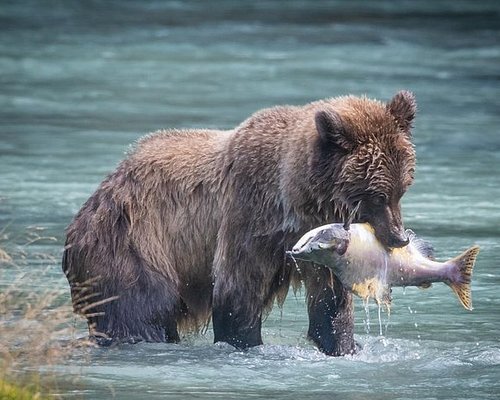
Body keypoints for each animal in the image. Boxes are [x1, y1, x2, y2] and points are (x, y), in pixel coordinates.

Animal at [61, 90, 414, 356]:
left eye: (401, 189)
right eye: (377, 195)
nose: (400, 236)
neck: (294, 200)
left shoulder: (320, 242)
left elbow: (330, 301)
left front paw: (343, 345)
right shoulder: (249, 215)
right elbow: (238, 288)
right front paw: (245, 343)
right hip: (133, 245)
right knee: (138, 310)